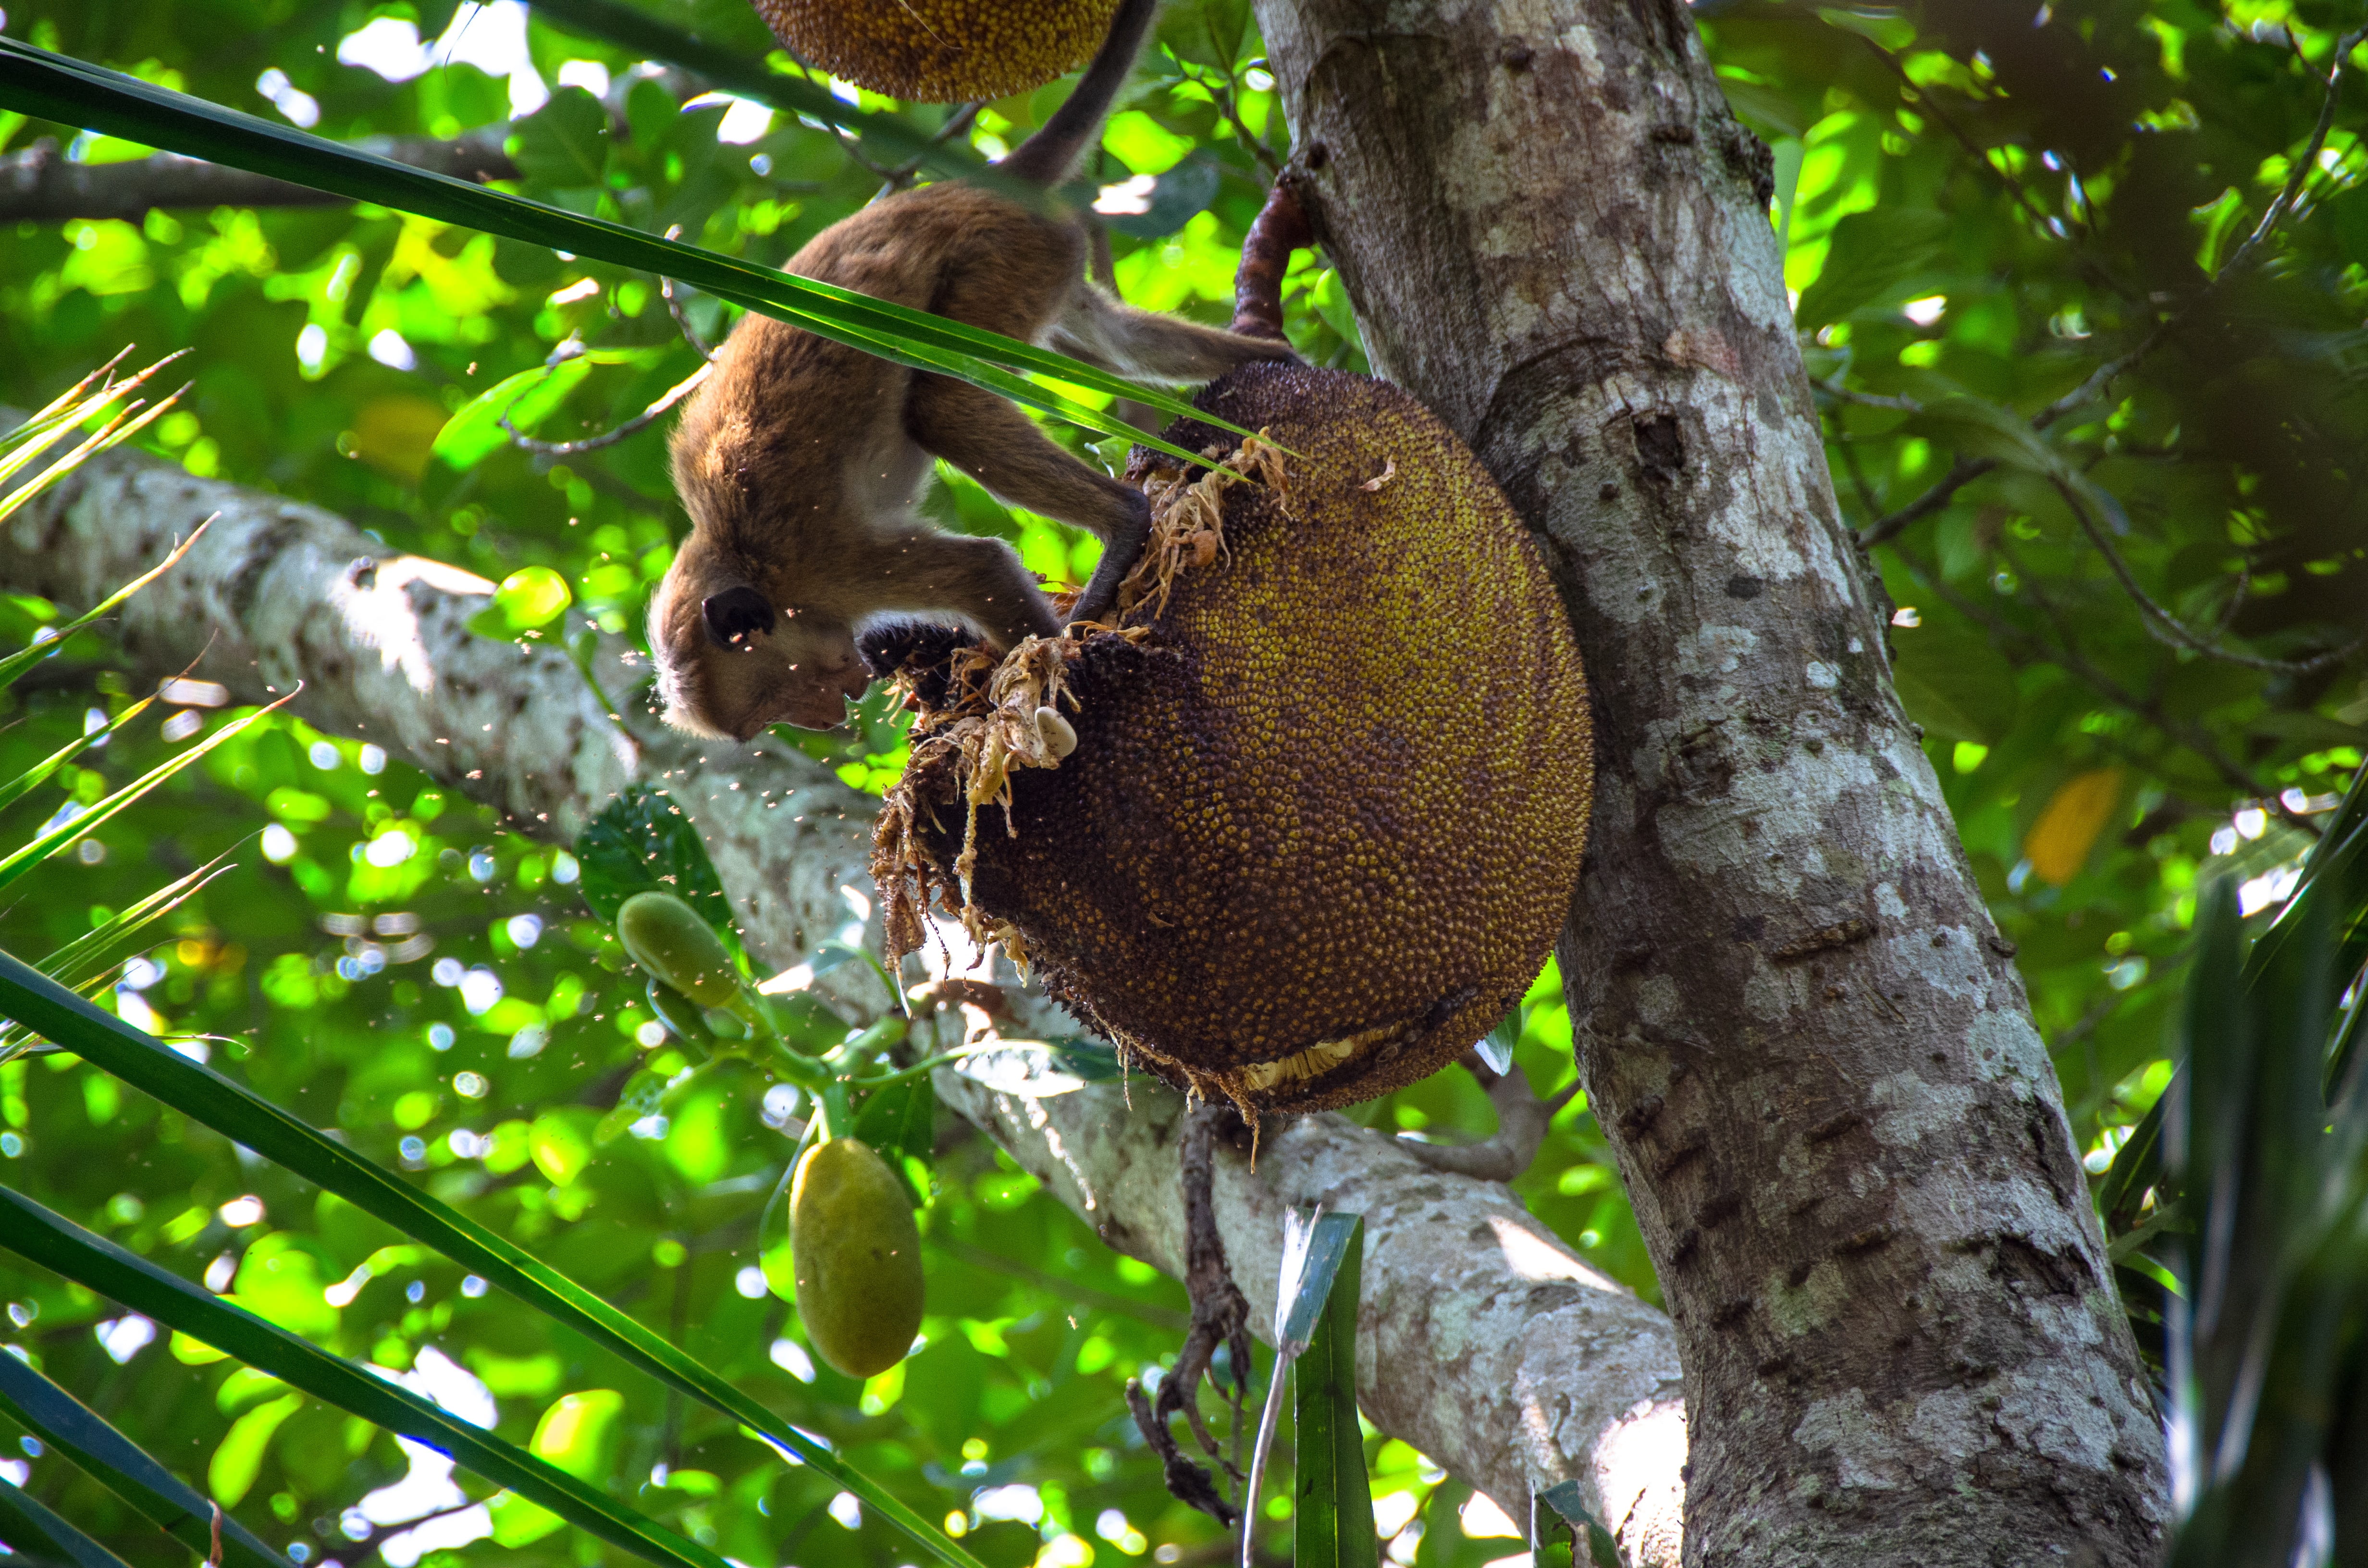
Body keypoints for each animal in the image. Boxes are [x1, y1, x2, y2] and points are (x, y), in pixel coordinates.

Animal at [651, 0, 1298, 741]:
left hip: (993, 256)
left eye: (779, 697)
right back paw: (1272, 360)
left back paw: (1125, 521)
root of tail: (958, 188)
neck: (735, 555)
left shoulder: (826, 566)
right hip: (1039, 256)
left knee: (942, 405)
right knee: (1111, 343)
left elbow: (979, 568)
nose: (828, 717)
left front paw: (1040, 679)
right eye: (772, 718)